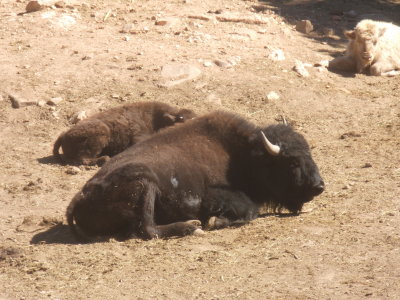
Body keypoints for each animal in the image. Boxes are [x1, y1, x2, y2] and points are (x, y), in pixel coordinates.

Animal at [66, 110, 324, 241]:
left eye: (309, 153)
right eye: (292, 161)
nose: (319, 186)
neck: (242, 153)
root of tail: (78, 199)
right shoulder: (215, 196)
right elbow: (250, 210)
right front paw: (214, 221)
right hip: (145, 181)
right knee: (147, 229)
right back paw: (192, 226)